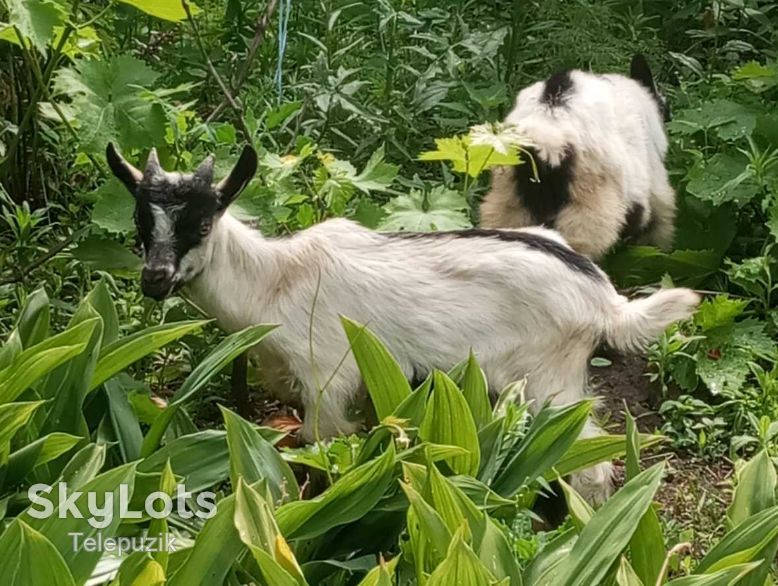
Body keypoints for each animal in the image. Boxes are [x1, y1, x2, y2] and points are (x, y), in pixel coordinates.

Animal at [106, 143, 698, 503]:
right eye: (140, 223)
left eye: (203, 224)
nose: (154, 280)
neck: (274, 282)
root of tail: (604, 298)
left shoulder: (328, 377)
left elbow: (322, 446)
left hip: (547, 381)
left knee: (589, 457)